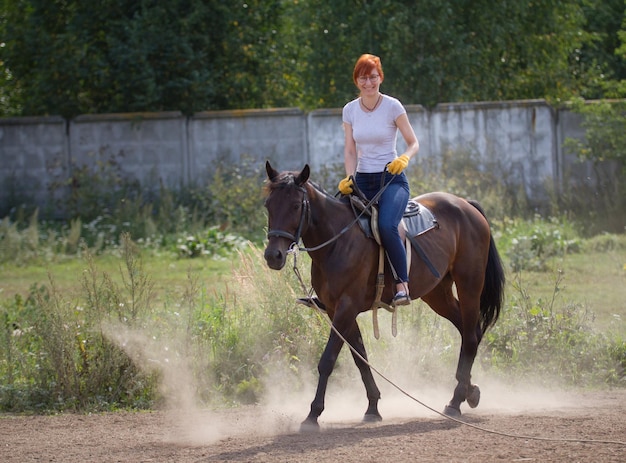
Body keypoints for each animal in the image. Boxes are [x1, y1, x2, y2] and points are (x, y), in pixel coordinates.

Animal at [262, 162, 502, 432]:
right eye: (268, 205)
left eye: (295, 205)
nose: (273, 256)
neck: (337, 241)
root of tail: (465, 205)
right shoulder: (337, 310)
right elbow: (360, 358)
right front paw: (373, 407)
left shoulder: (346, 307)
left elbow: (328, 360)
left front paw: (313, 414)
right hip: (437, 293)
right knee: (469, 331)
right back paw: (468, 392)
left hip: (469, 284)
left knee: (470, 336)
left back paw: (455, 402)